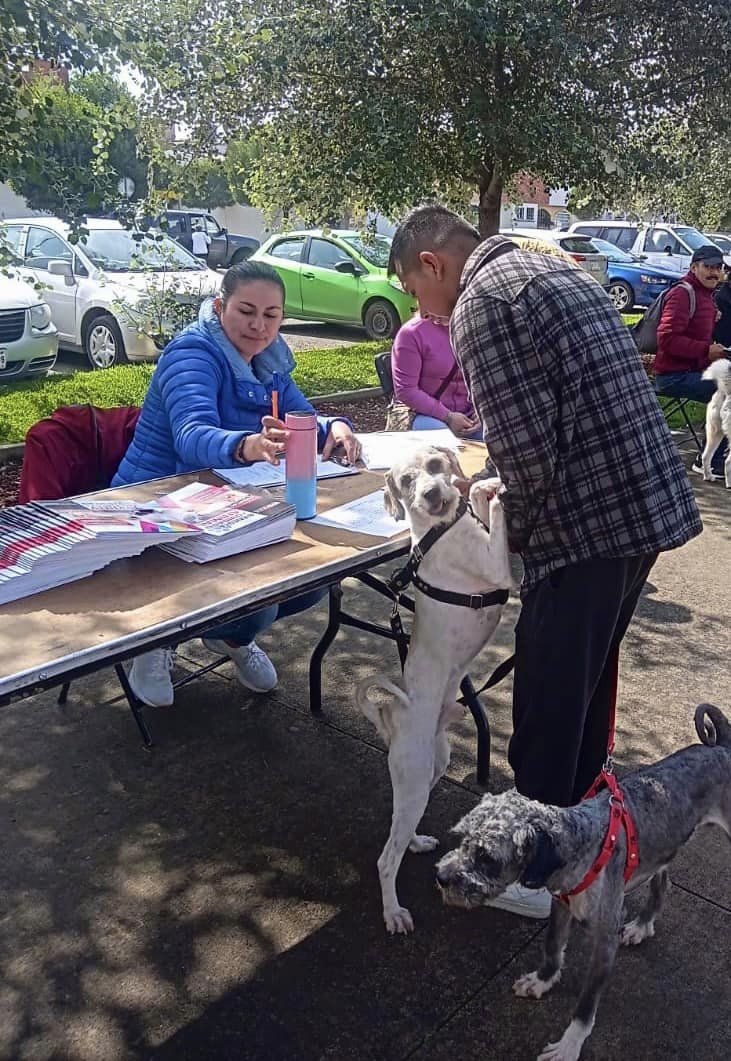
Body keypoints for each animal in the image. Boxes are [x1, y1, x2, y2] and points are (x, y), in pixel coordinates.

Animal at [356, 443, 511, 933]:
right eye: (406, 481)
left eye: (435, 466)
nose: (429, 494)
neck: (436, 533)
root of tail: (389, 718)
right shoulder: (498, 566)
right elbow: (493, 514)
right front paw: (493, 487)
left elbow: (478, 501)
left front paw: (482, 484)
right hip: (414, 780)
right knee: (385, 860)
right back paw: (393, 913)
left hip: (431, 769)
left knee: (400, 834)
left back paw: (418, 842)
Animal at [432, 704, 729, 1061]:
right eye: (463, 839)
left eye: (487, 857)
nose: (441, 877)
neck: (582, 840)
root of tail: (722, 746)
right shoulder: (562, 906)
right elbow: (552, 949)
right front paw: (542, 981)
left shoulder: (604, 942)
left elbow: (586, 1006)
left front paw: (569, 1044)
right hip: (662, 846)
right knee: (661, 885)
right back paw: (642, 925)